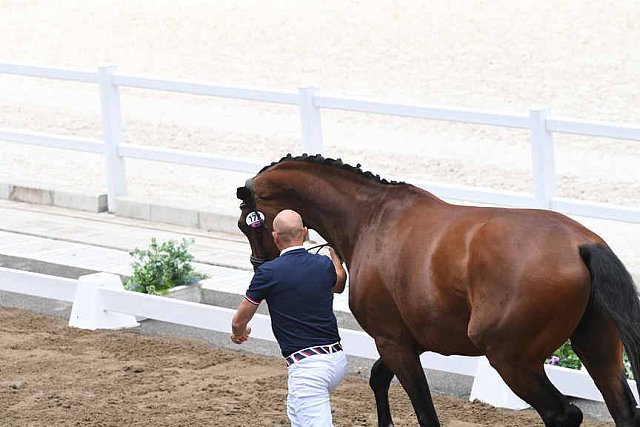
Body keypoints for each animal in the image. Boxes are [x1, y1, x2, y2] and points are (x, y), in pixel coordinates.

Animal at [235, 155, 640, 427]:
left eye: (245, 223)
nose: (260, 267)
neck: (370, 220)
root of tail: (580, 243)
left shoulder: (392, 342)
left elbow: (424, 412)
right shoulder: (405, 341)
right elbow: (378, 379)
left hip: (513, 360)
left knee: (561, 414)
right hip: (597, 347)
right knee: (623, 410)